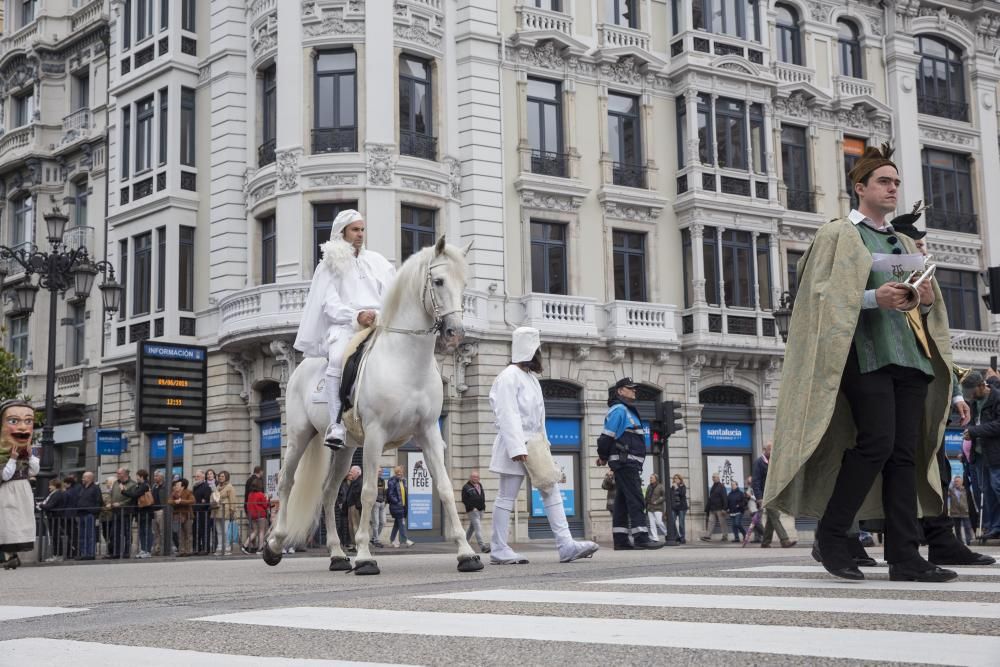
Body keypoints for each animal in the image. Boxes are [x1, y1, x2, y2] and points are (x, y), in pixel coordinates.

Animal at [262, 239, 480, 576]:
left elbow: (445, 487)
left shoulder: (429, 432)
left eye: (465, 283)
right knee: (287, 482)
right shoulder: (377, 435)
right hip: (299, 435)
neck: (405, 360)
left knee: (328, 492)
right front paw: (365, 556)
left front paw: (466, 553)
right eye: (439, 281)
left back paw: (337, 554)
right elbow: (366, 492)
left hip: (346, 448)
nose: (456, 333)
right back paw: (274, 545)